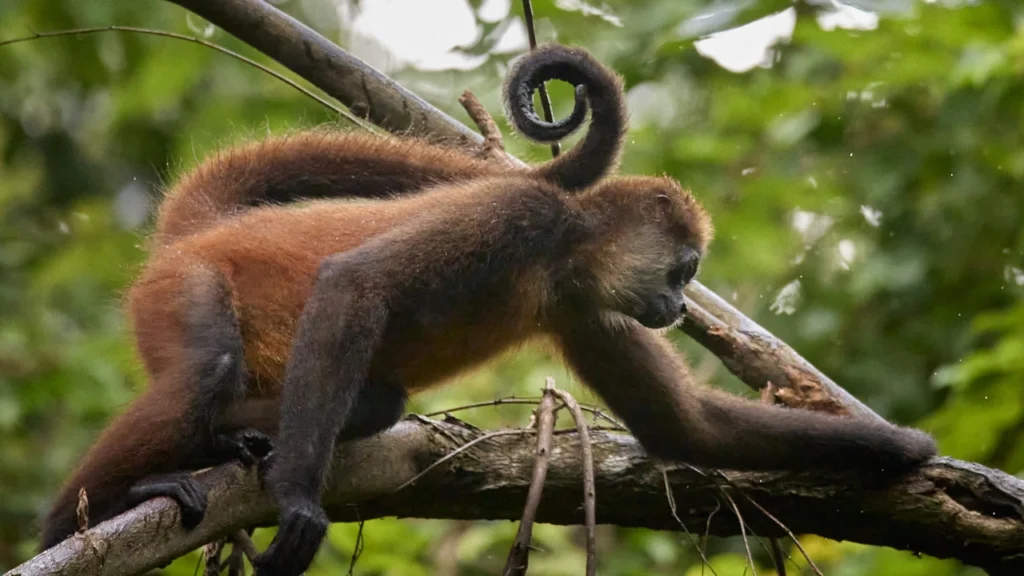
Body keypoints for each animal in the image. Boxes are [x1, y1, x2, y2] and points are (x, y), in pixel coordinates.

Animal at [39, 42, 937, 569]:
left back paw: (233, 437)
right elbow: (353, 283)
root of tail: (200, 233)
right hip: (185, 287)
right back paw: (81, 518)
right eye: (684, 271)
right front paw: (295, 499)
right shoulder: (519, 216)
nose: (682, 308)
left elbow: (684, 430)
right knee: (206, 373)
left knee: (365, 400)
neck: (557, 258)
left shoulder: (581, 304)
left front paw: (903, 449)